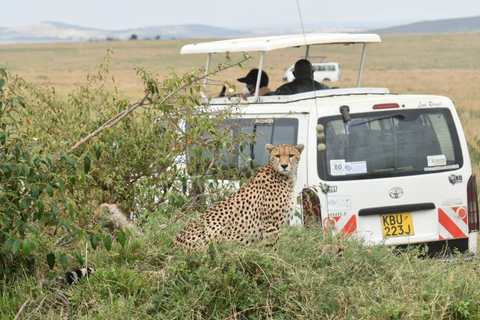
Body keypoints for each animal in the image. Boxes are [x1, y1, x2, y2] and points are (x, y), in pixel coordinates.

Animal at [175, 142, 304, 250]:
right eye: (277, 155)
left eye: (291, 155)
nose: (284, 165)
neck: (286, 177)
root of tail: (176, 240)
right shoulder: (271, 224)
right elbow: (272, 247)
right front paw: (273, 258)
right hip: (218, 228)